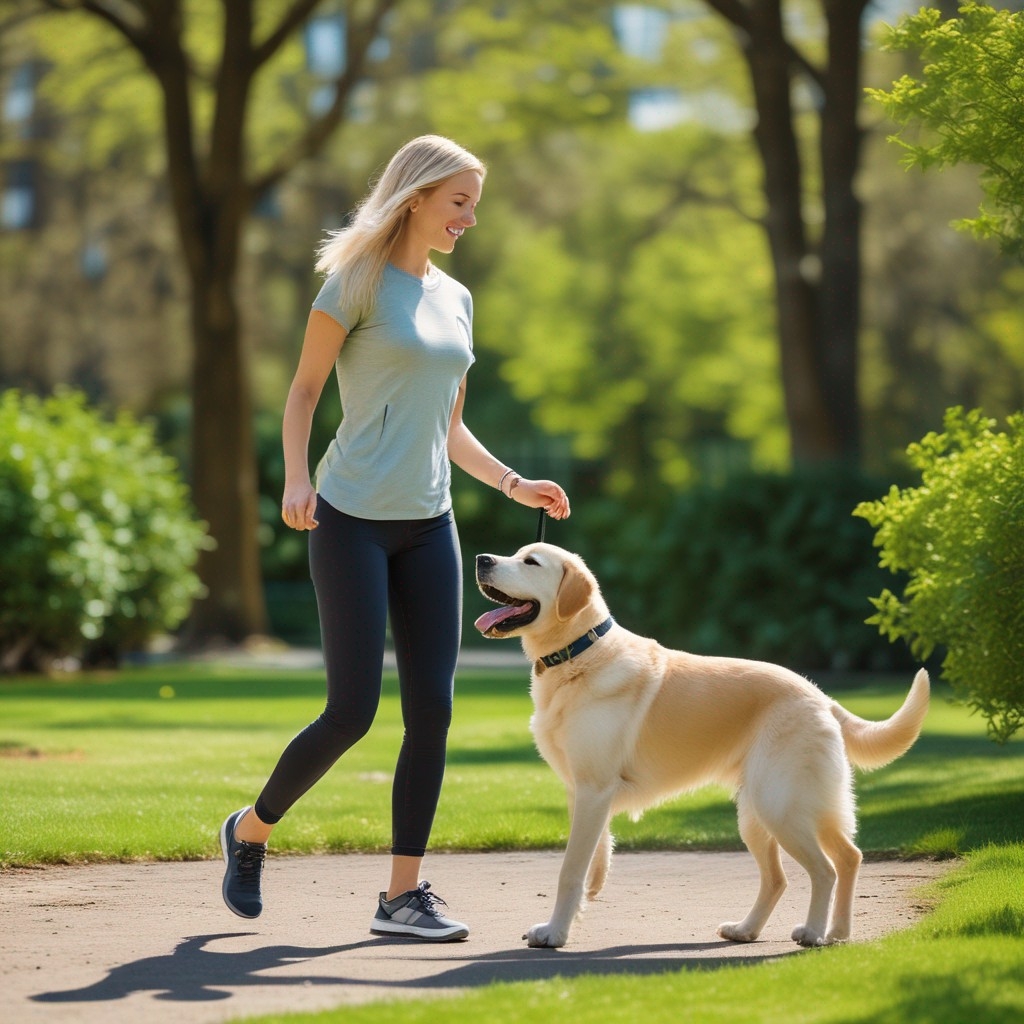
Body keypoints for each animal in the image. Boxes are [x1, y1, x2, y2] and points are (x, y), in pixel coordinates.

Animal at [475, 540, 933, 946]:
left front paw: (555, 933)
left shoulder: (593, 789)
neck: (578, 655)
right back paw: (787, 931)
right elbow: (592, 862)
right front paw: (583, 903)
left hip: (780, 805)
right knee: (816, 867)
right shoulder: (582, 793)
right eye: (515, 553)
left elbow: (569, 870)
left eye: (531, 562)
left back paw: (814, 933)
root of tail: (820, 695)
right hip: (764, 813)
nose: (481, 558)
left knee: (825, 869)